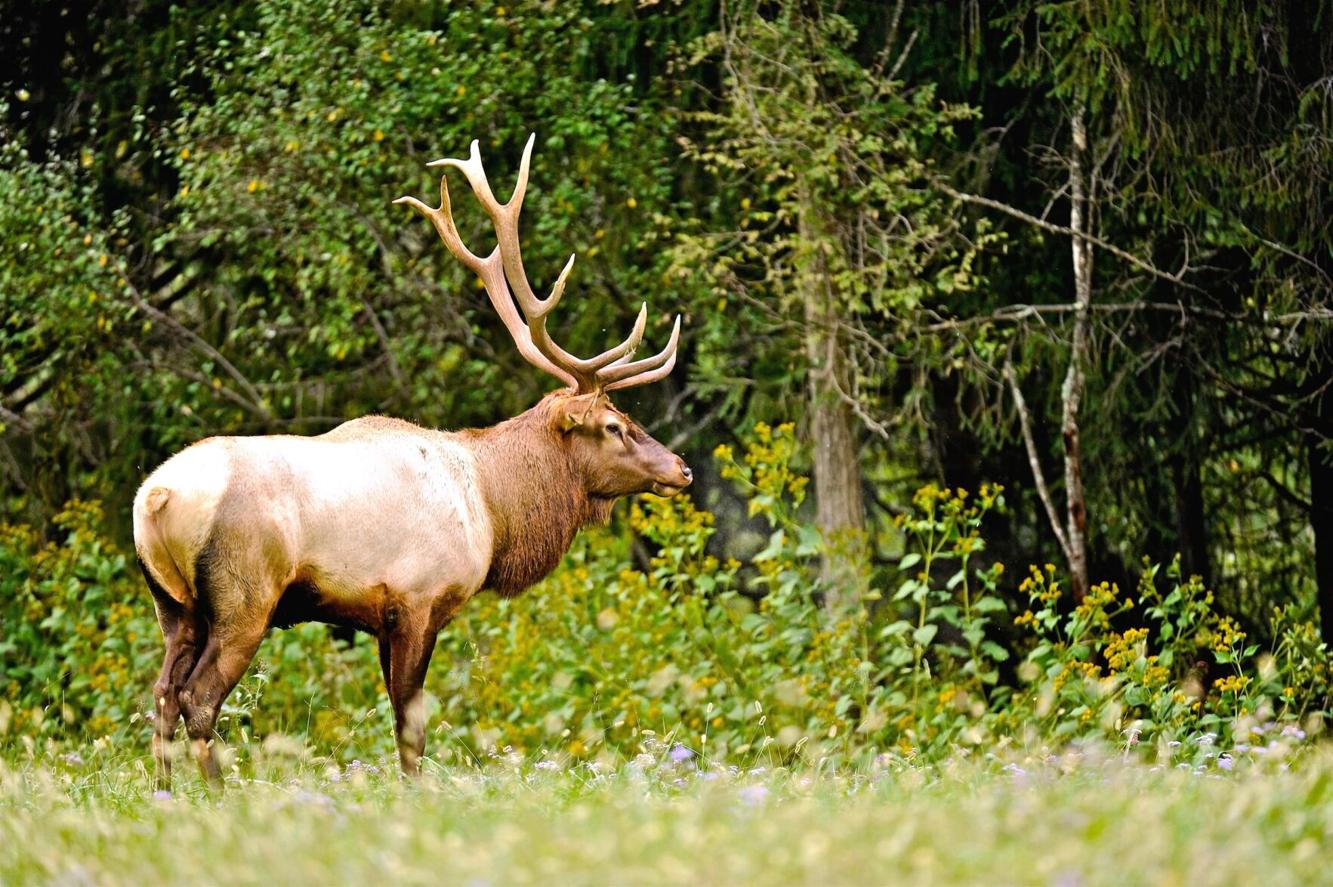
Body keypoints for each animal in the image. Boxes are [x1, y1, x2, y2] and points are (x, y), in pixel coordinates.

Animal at [132, 134, 691, 788]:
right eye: (614, 426)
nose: (681, 468)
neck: (493, 510)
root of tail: (156, 499)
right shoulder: (418, 600)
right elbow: (410, 728)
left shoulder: (382, 617)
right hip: (244, 599)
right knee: (197, 699)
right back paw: (221, 795)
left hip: (172, 605)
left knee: (162, 695)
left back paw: (166, 793)